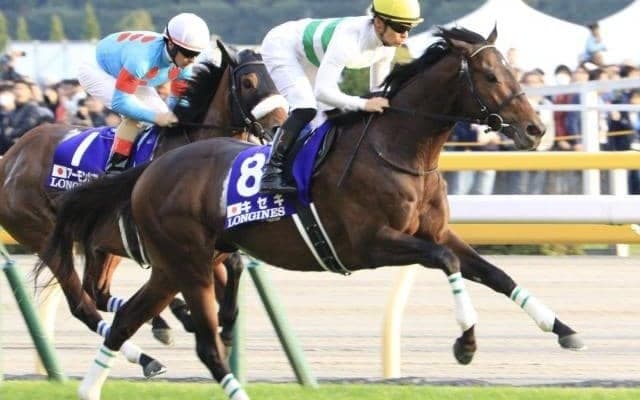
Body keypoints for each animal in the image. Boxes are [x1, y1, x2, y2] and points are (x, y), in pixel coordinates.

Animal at [7, 43, 287, 377]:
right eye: (248, 83)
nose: (279, 126)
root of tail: (11, 155)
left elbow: (233, 269)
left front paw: (220, 325)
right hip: (46, 239)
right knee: (83, 304)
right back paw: (147, 354)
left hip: (102, 246)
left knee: (98, 293)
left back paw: (165, 324)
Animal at [42, 26, 583, 400]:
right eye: (490, 76)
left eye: (512, 70)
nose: (536, 129)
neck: (398, 149)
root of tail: (150, 170)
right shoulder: (370, 244)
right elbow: (448, 265)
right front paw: (466, 344)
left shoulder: (438, 233)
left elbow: (494, 273)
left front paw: (562, 329)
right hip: (186, 261)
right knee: (184, 335)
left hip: (174, 264)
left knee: (126, 317)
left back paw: (95, 385)